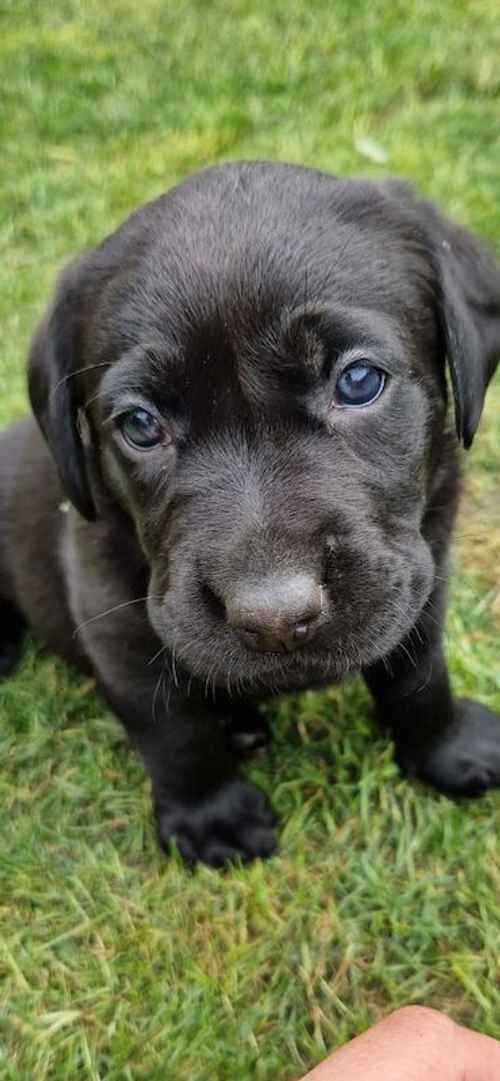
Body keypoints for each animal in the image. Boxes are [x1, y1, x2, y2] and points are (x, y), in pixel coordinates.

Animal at [0, 159, 500, 864]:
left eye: (359, 382)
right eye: (139, 425)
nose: (273, 620)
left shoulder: (421, 573)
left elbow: (419, 673)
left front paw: (445, 747)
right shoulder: (116, 624)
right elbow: (173, 730)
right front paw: (213, 817)